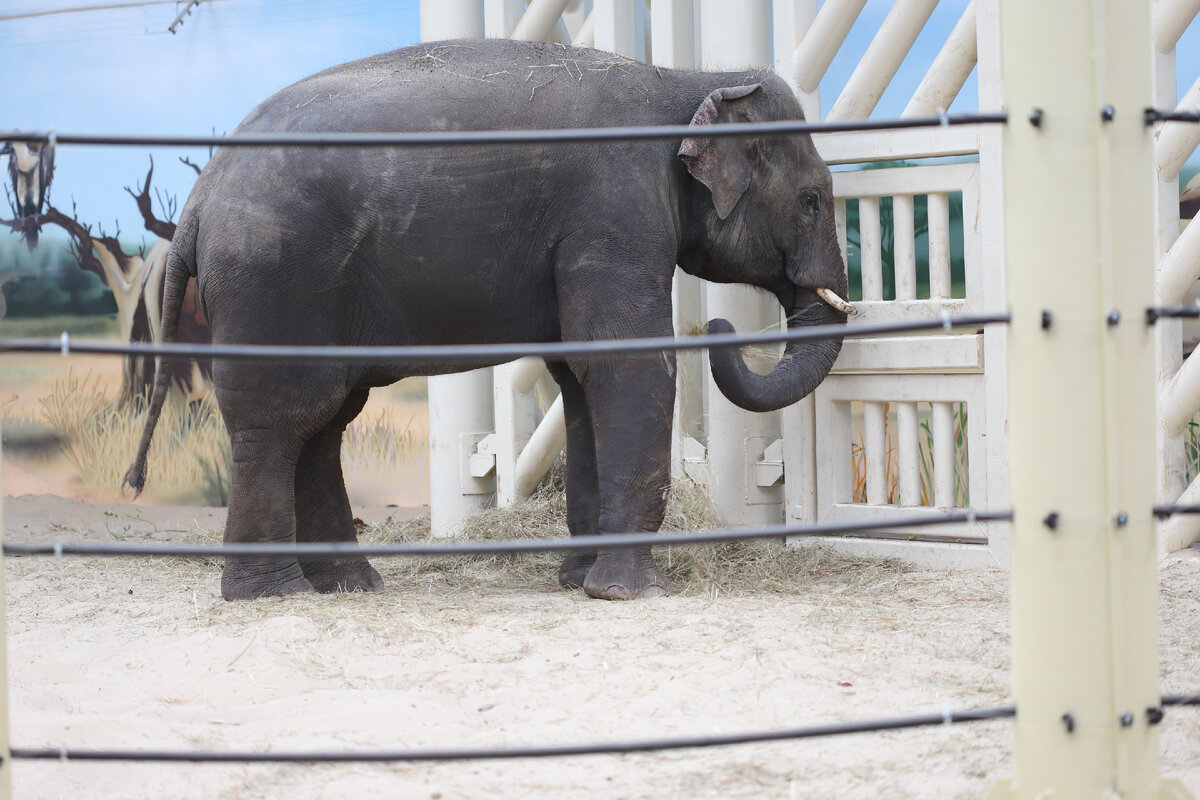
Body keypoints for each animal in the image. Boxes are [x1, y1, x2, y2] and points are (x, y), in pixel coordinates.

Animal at [124, 37, 854, 599]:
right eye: (812, 201)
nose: (723, 331)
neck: (686, 81)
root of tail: (198, 201)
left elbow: (580, 379)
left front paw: (578, 582)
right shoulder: (615, 211)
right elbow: (627, 364)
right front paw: (631, 593)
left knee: (321, 421)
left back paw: (347, 587)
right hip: (274, 280)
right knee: (278, 420)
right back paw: (272, 595)